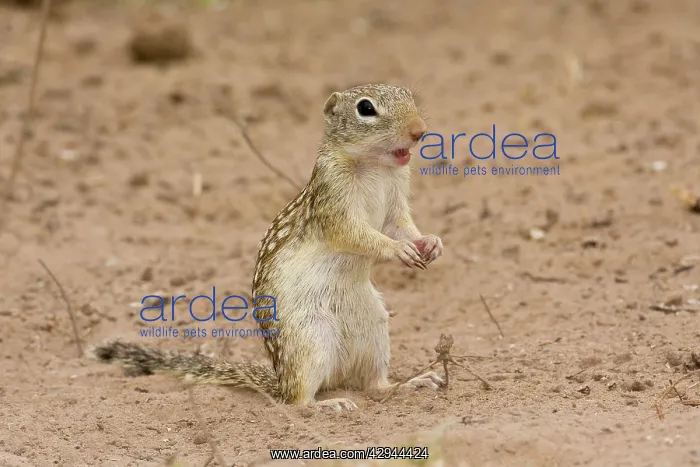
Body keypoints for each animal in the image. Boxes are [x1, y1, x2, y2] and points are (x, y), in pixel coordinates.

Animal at [92, 83, 445, 412]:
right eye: (366, 108)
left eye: (408, 95)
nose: (419, 130)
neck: (375, 166)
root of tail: (279, 380)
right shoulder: (333, 199)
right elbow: (355, 234)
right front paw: (397, 250)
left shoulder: (396, 198)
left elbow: (401, 226)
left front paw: (431, 242)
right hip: (310, 341)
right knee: (297, 401)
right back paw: (328, 404)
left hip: (373, 331)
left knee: (372, 385)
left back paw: (409, 383)